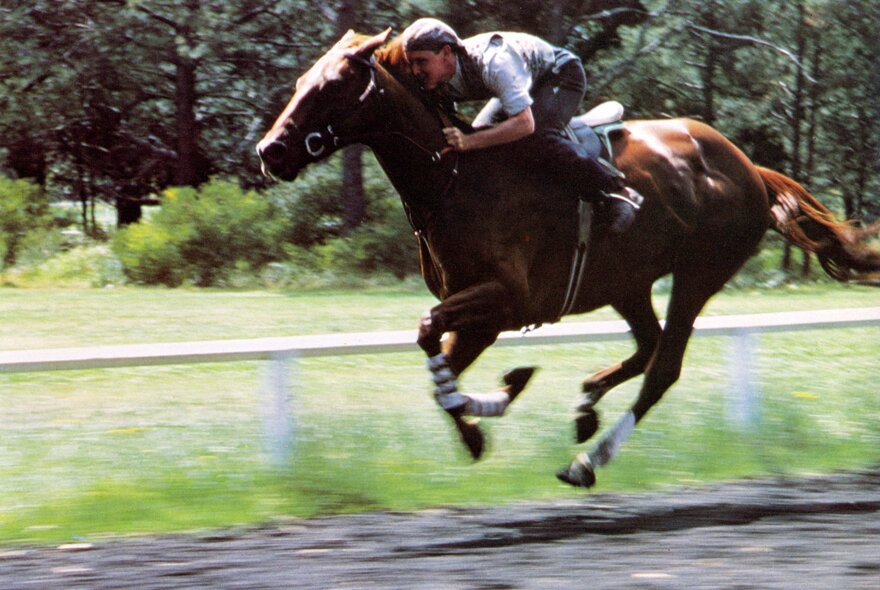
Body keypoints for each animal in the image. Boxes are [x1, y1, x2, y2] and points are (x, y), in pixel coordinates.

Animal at [256, 29, 880, 487]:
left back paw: (588, 461)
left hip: (698, 273)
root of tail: (749, 167)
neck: (454, 179)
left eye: (334, 85)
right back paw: (586, 404)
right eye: (302, 80)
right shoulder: (482, 314)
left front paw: (487, 409)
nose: (271, 151)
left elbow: (428, 332)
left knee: (664, 366)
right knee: (648, 346)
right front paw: (490, 407)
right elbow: (440, 363)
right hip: (628, 282)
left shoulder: (504, 298)